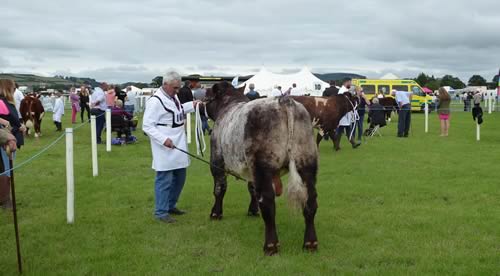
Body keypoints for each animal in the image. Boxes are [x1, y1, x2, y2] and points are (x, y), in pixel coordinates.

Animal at [204, 82, 318, 256]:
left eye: (207, 95)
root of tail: (284, 100)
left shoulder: (217, 160)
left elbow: (219, 188)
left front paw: (216, 213)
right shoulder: (250, 170)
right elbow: (251, 189)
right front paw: (252, 210)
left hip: (262, 166)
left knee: (268, 202)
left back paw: (271, 245)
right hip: (307, 163)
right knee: (310, 200)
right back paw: (310, 243)